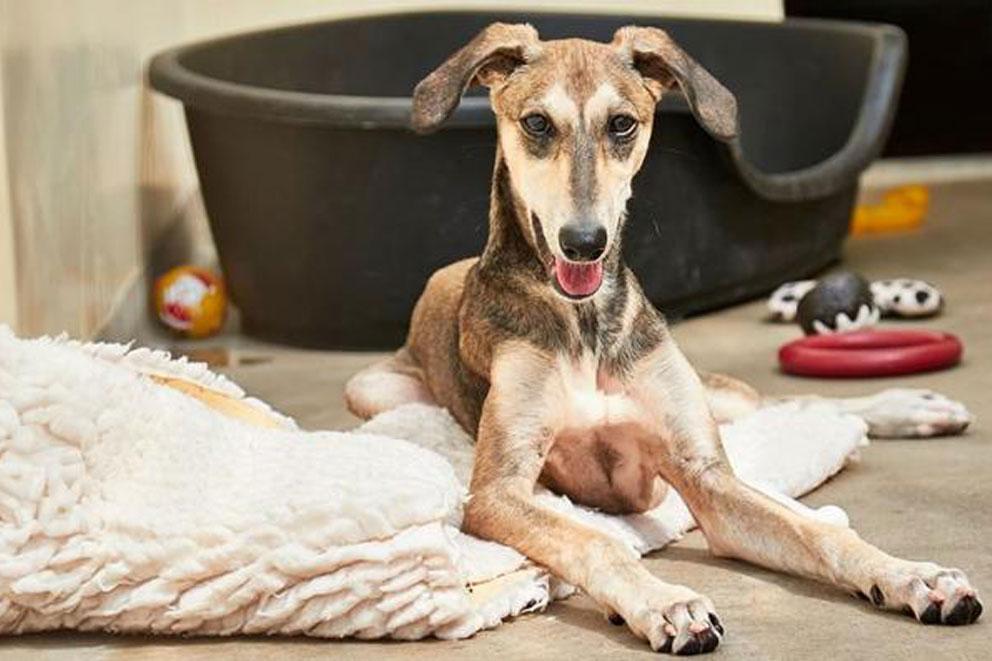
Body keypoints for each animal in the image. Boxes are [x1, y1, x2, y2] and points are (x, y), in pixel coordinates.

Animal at [344, 24, 980, 656]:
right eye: (537, 124)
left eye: (622, 123)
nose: (584, 243)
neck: (586, 325)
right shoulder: (498, 493)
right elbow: (595, 540)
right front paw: (665, 603)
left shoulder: (706, 474)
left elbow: (818, 532)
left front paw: (915, 577)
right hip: (372, 390)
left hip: (710, 394)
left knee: (791, 403)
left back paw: (912, 406)